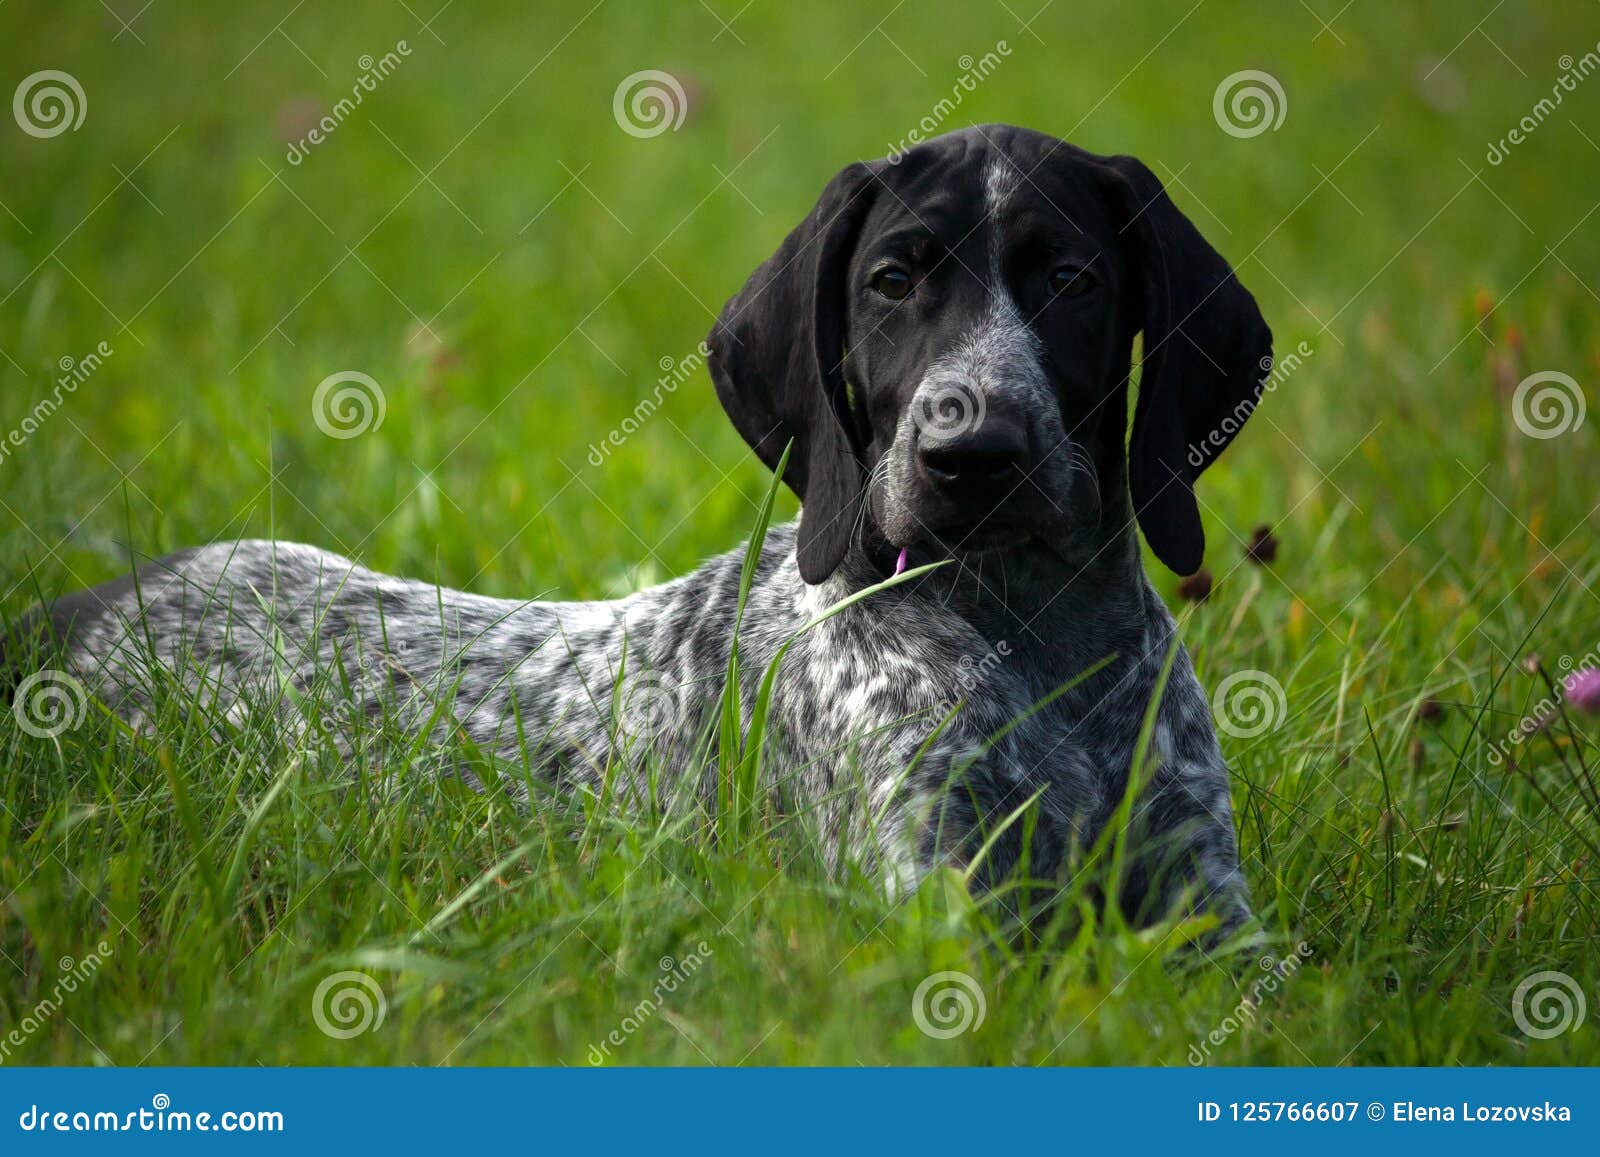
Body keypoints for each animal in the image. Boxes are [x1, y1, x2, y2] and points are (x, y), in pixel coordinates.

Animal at [21, 126, 1273, 934]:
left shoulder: (1210, 913)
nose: (972, 455)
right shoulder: (943, 901)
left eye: (1069, 280)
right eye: (890, 281)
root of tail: (65, 615)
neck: (1028, 626)